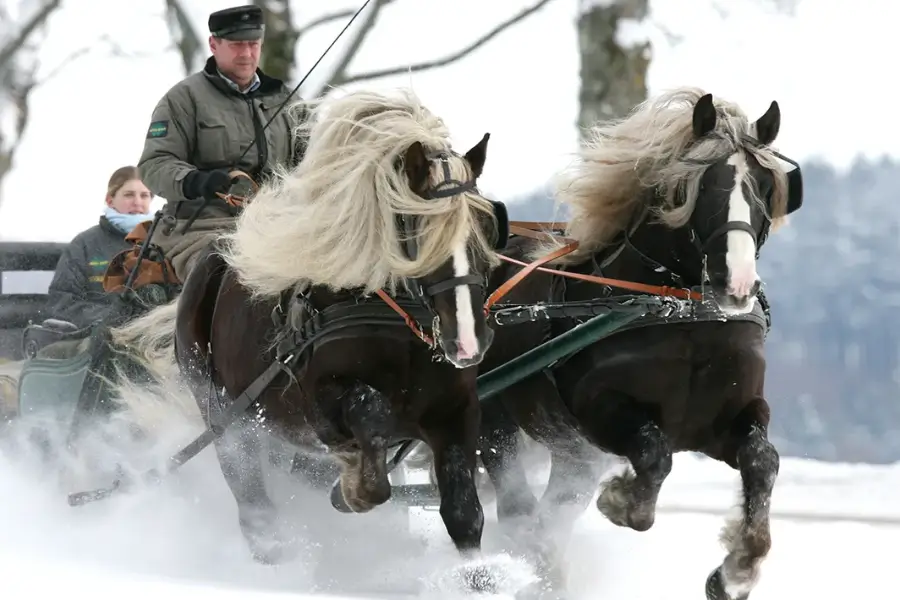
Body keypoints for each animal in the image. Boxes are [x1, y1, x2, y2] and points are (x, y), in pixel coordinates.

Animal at [167, 86, 506, 580]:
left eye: (486, 225)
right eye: (418, 230)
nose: (466, 343)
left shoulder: (455, 411)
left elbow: (465, 513)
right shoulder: (319, 403)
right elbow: (370, 420)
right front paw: (352, 487)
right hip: (227, 419)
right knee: (254, 506)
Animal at [474, 85, 804, 600]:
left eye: (766, 189)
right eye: (700, 187)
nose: (737, 282)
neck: (683, 315)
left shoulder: (730, 416)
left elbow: (762, 459)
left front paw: (736, 569)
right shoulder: (599, 408)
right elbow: (655, 453)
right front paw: (621, 501)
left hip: (570, 455)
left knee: (548, 516)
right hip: (496, 424)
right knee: (518, 510)